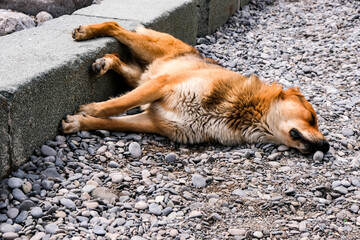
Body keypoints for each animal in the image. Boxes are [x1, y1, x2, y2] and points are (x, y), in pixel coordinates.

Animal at [62, 21, 330, 155]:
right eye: (312, 118)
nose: (326, 146)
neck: (239, 110)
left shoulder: (153, 121)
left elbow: (111, 121)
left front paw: (80, 122)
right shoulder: (162, 85)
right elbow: (117, 105)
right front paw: (91, 109)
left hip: (141, 76)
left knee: (118, 59)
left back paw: (104, 62)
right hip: (148, 51)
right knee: (116, 26)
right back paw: (88, 31)